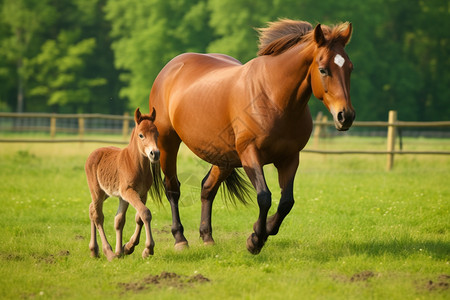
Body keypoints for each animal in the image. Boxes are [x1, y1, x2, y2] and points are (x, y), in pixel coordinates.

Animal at [150, 19, 356, 253]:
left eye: (350, 68)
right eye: (323, 70)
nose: (345, 116)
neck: (272, 96)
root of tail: (171, 67)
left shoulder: (290, 158)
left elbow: (286, 202)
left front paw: (264, 231)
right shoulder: (250, 154)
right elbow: (264, 196)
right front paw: (255, 239)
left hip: (224, 157)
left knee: (207, 188)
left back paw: (207, 236)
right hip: (168, 143)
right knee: (173, 189)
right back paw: (180, 238)